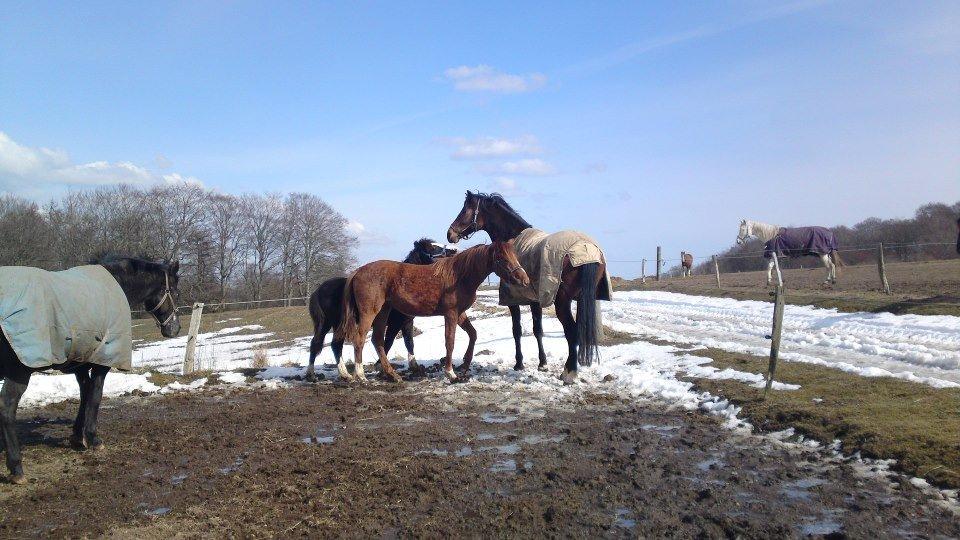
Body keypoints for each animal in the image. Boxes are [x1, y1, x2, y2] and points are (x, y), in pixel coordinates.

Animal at [0, 255, 180, 484]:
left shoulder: (80, 362)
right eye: (175, 292)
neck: (114, 285)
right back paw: (16, 467)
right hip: (19, 371)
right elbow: (95, 396)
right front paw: (93, 438)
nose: (175, 329)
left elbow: (84, 395)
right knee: (7, 408)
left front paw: (78, 436)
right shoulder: (101, 362)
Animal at [308, 236, 458, 380]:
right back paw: (317, 374)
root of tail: (318, 290)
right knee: (322, 344)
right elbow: (389, 342)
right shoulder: (395, 324)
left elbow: (409, 343)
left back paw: (343, 374)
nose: (453, 251)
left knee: (332, 344)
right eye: (432, 248)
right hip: (328, 323)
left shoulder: (406, 322)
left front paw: (414, 366)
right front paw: (381, 367)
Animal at [340, 240, 532, 384]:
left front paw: (465, 364)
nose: (524, 280)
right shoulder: (451, 314)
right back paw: (360, 375)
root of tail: (358, 271)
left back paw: (391, 375)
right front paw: (451, 373)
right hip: (369, 313)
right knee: (360, 339)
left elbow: (473, 334)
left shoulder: (460, 314)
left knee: (378, 340)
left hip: (382, 312)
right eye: (502, 258)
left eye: (514, 256)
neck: (459, 276)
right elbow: (450, 342)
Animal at [448, 192, 612, 386]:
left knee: (571, 332)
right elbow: (537, 330)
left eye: (466, 210)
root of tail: (586, 250)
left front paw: (519, 364)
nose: (450, 234)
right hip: (581, 300)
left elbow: (517, 331)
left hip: (562, 302)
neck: (513, 238)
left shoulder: (512, 301)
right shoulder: (534, 300)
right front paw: (543, 363)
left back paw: (569, 373)